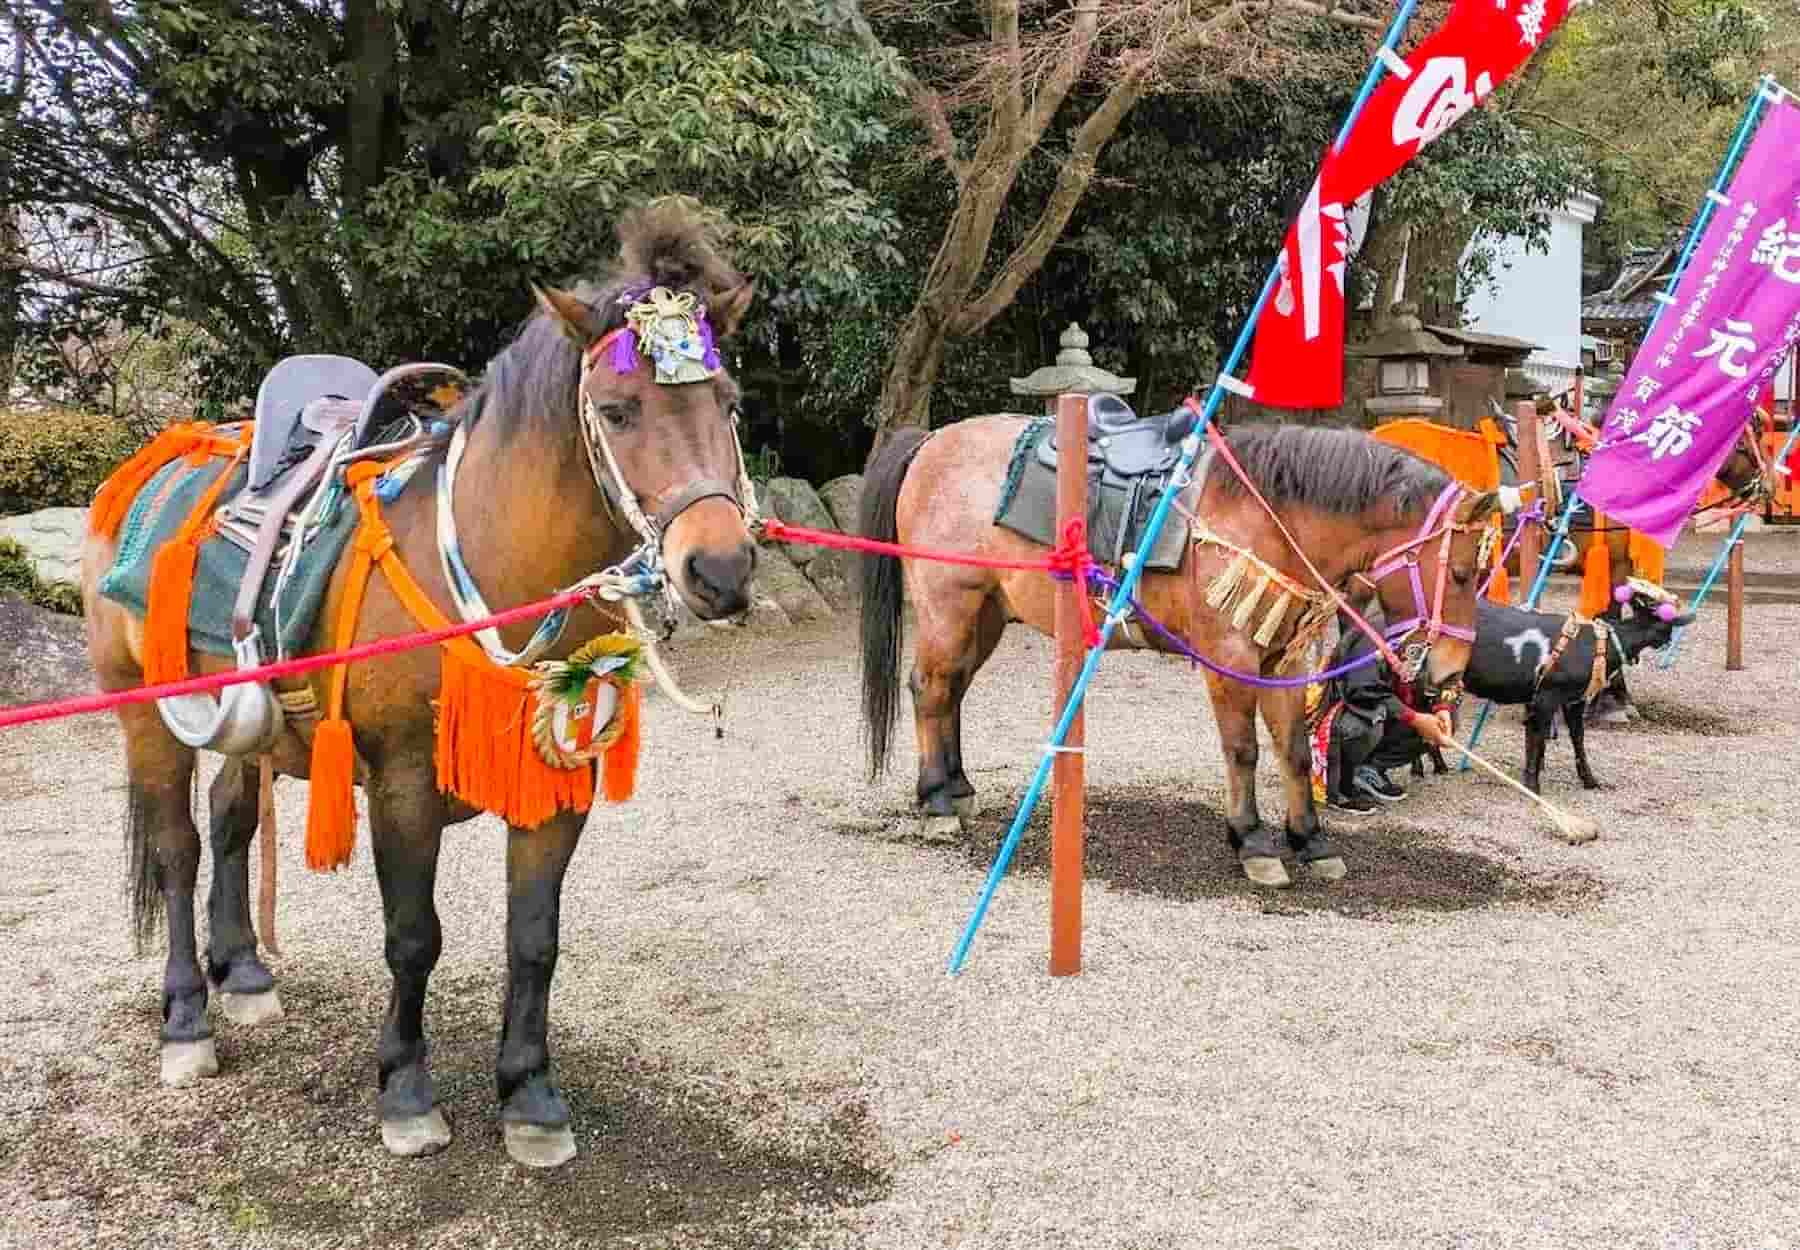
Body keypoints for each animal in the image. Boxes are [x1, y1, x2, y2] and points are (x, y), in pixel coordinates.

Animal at [81, 201, 759, 1167]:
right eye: (620, 410)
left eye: (728, 404)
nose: (720, 569)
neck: (485, 562)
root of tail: (159, 459)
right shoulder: (402, 782)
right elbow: (413, 939)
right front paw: (405, 1090)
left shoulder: (560, 776)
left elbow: (534, 937)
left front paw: (530, 1097)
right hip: (145, 714)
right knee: (177, 847)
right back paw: (187, 1021)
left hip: (248, 724)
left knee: (231, 818)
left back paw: (243, 971)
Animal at [858, 417, 1500, 888]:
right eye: (1461, 573)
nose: (1450, 671)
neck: (1267, 517)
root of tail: (932, 442)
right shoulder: (1231, 659)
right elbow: (1243, 751)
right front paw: (1253, 842)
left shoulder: (1284, 661)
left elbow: (1293, 752)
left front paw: (1311, 841)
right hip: (950, 604)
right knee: (930, 689)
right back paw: (937, 802)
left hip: (987, 612)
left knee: (952, 692)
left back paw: (958, 788)